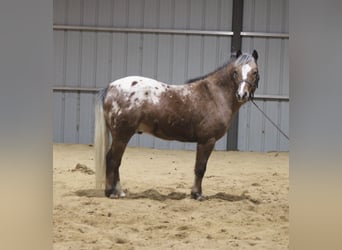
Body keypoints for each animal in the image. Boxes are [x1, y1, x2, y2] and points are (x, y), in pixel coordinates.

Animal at [93, 49, 260, 200]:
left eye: (255, 71)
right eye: (235, 72)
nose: (242, 95)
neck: (214, 96)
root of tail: (110, 87)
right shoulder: (207, 141)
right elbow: (200, 168)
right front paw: (197, 194)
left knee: (116, 161)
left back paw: (119, 191)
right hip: (122, 135)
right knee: (112, 160)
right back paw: (110, 192)